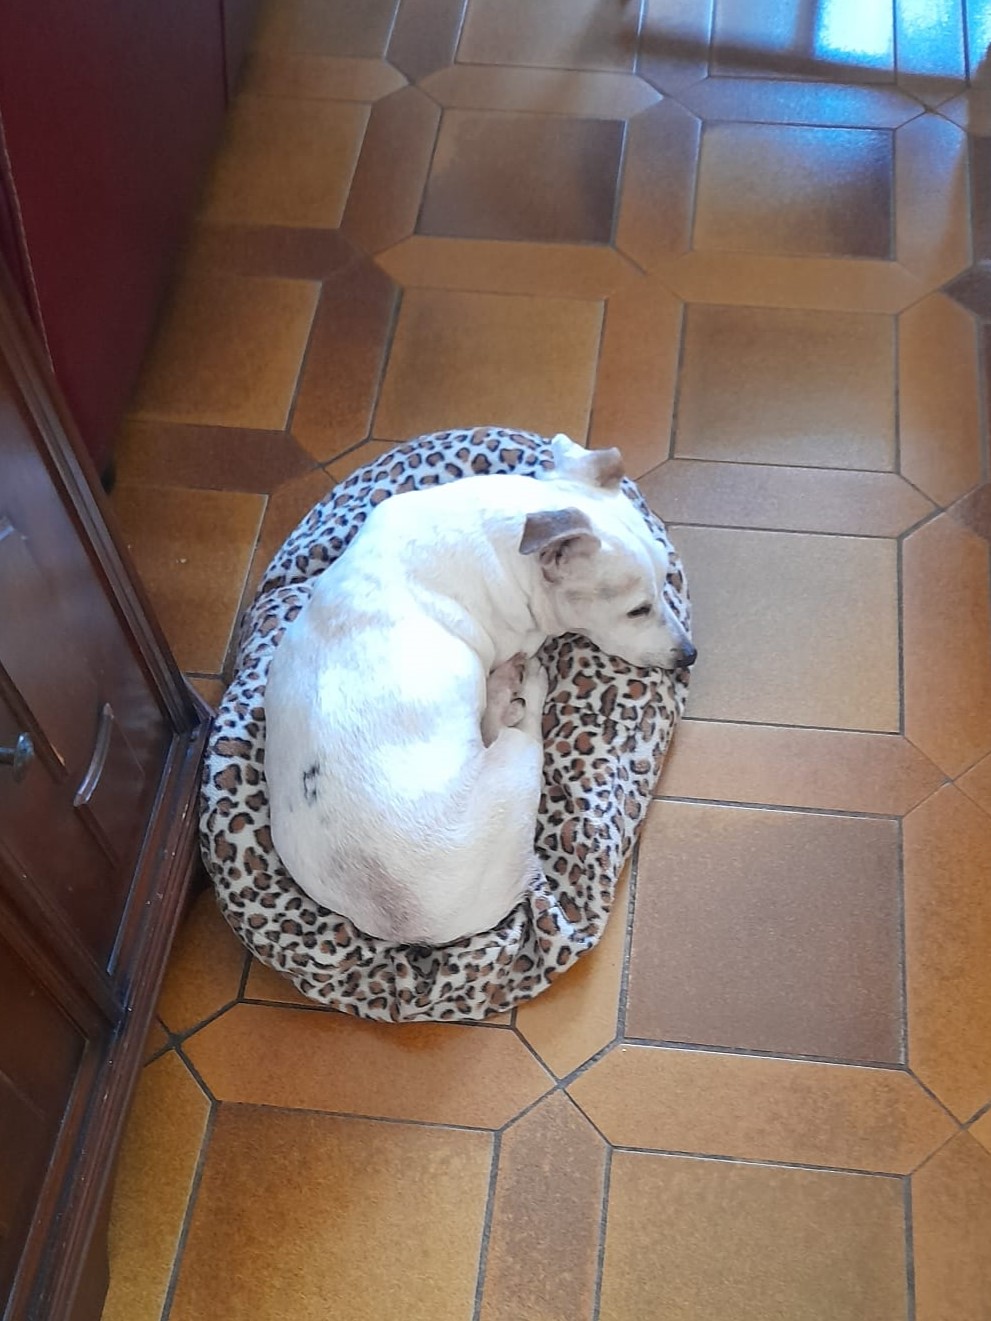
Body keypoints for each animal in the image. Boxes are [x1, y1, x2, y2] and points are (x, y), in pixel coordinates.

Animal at [264, 436, 695, 946]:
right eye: (637, 610)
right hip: (515, 765)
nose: (688, 655)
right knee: (521, 728)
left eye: (667, 580)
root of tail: (417, 923)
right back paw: (520, 688)